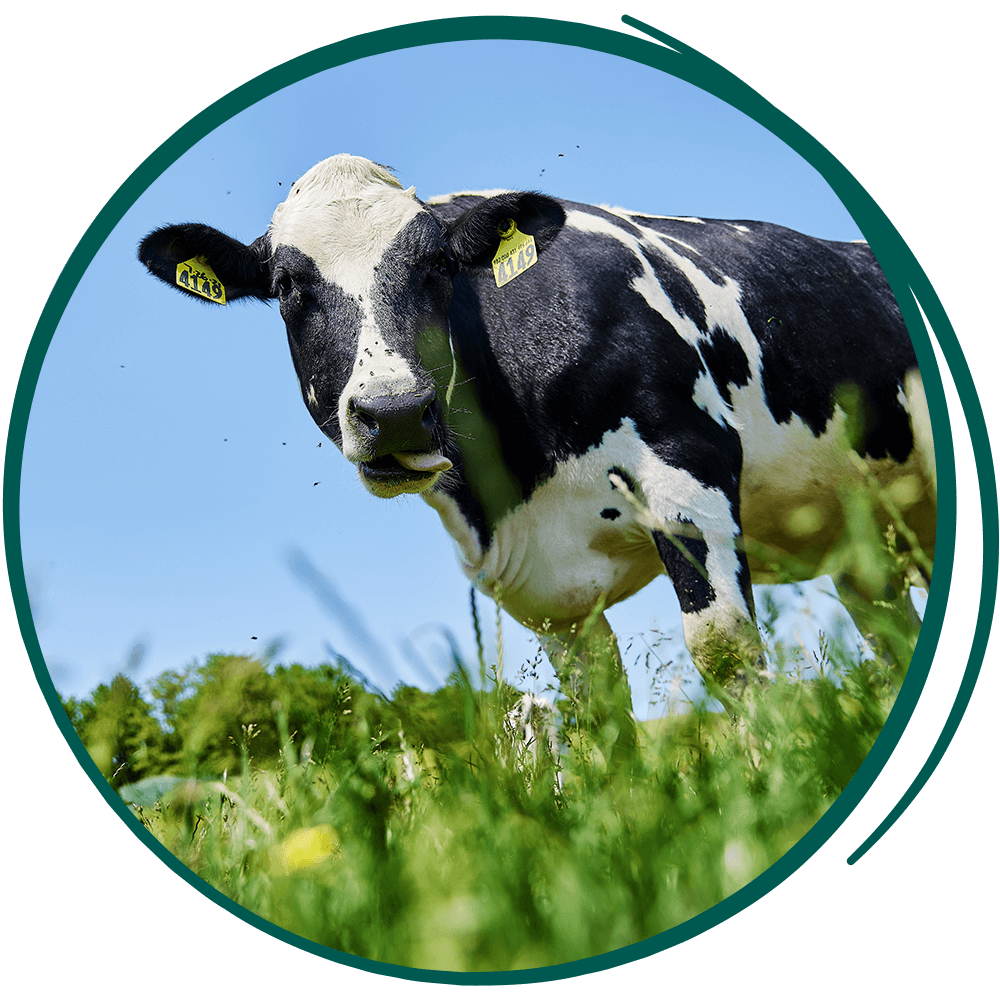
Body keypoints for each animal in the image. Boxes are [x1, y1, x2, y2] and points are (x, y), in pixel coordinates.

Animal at [138, 153, 936, 761]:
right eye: (286, 286)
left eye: (436, 268)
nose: (393, 412)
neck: (517, 477)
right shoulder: (541, 592)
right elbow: (598, 708)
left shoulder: (691, 470)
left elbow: (725, 654)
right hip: (868, 550)